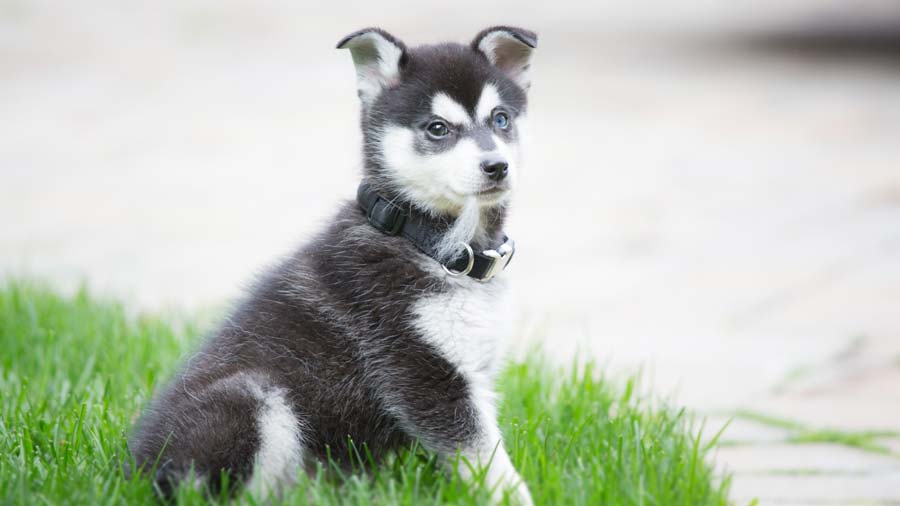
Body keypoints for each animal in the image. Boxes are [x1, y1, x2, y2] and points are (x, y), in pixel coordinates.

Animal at [130, 25, 536, 504]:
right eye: (437, 128)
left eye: (501, 119)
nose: (497, 166)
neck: (433, 246)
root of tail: (135, 469)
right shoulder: (420, 368)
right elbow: (483, 454)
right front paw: (517, 495)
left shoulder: (471, 369)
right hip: (250, 394)